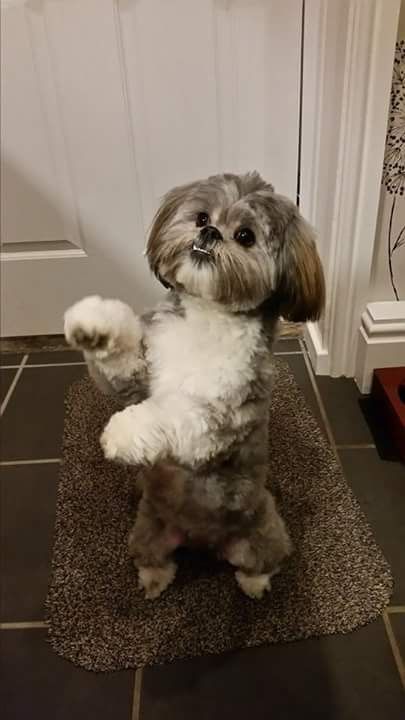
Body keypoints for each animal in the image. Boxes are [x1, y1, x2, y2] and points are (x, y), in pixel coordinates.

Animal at [64, 173, 324, 600]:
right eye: (202, 216)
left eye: (245, 236)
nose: (210, 232)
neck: (207, 317)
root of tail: (202, 541)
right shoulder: (141, 375)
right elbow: (121, 363)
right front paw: (94, 322)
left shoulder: (220, 418)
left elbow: (175, 413)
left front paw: (123, 432)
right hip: (148, 528)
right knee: (156, 557)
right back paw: (154, 578)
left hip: (262, 531)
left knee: (261, 560)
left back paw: (255, 584)